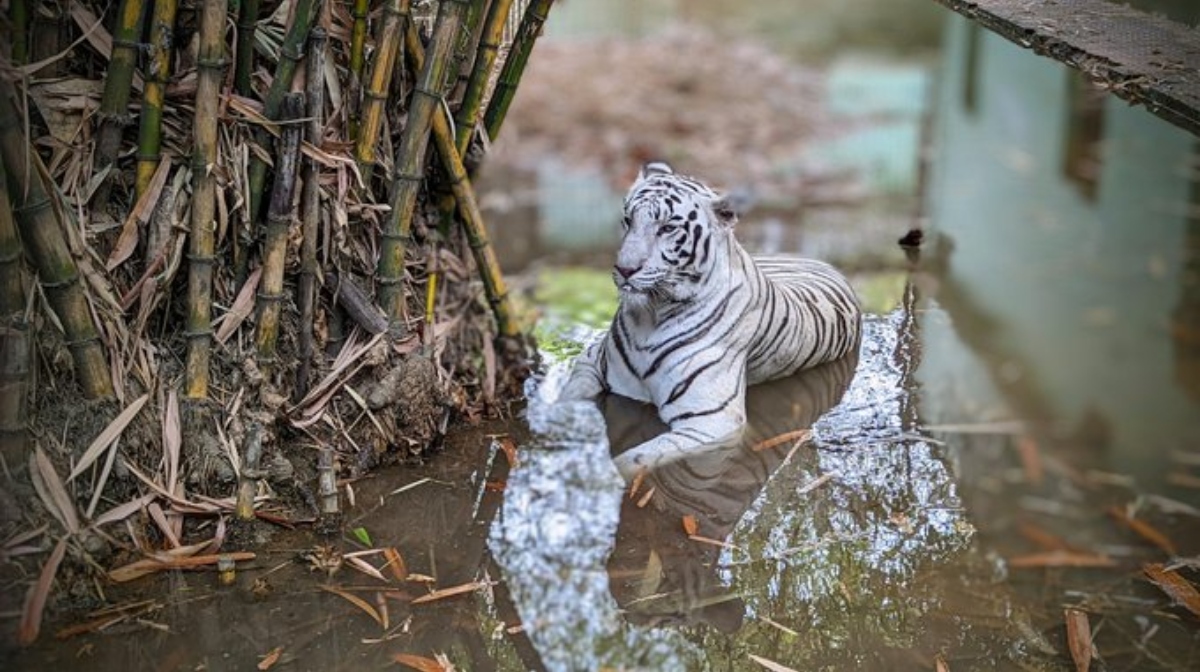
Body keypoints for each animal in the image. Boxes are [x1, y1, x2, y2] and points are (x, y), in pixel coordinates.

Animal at [556, 163, 859, 475]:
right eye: (628, 220)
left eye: (667, 228)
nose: (624, 270)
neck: (650, 314)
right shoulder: (591, 360)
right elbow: (567, 397)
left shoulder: (710, 420)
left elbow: (630, 461)